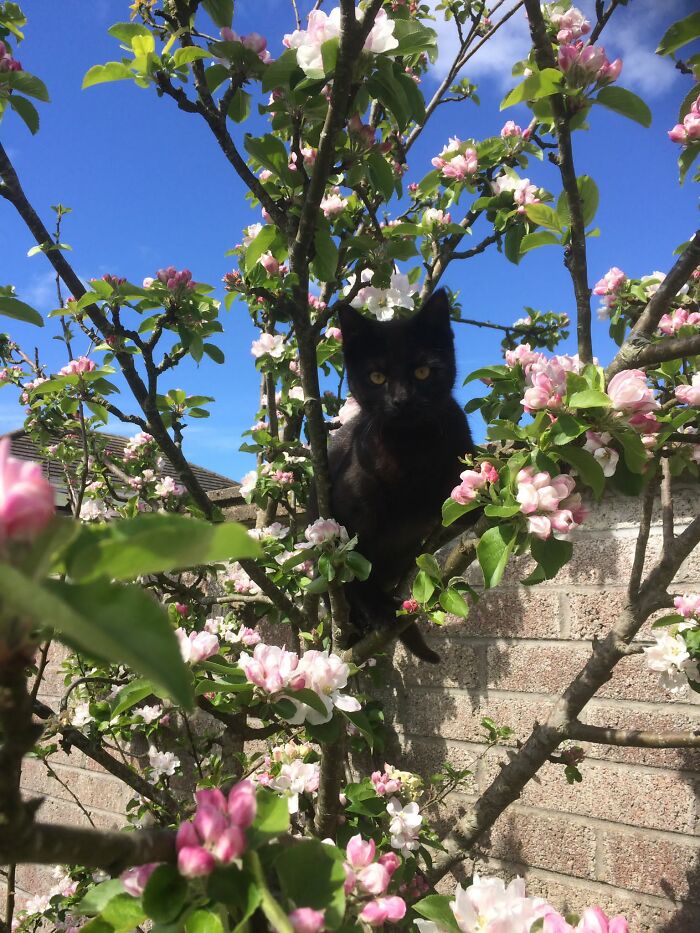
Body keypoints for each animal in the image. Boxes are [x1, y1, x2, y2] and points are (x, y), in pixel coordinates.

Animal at [330, 288, 476, 660]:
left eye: (423, 372)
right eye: (377, 377)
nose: (401, 400)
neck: (410, 449)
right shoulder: (349, 513)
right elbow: (355, 569)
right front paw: (379, 610)